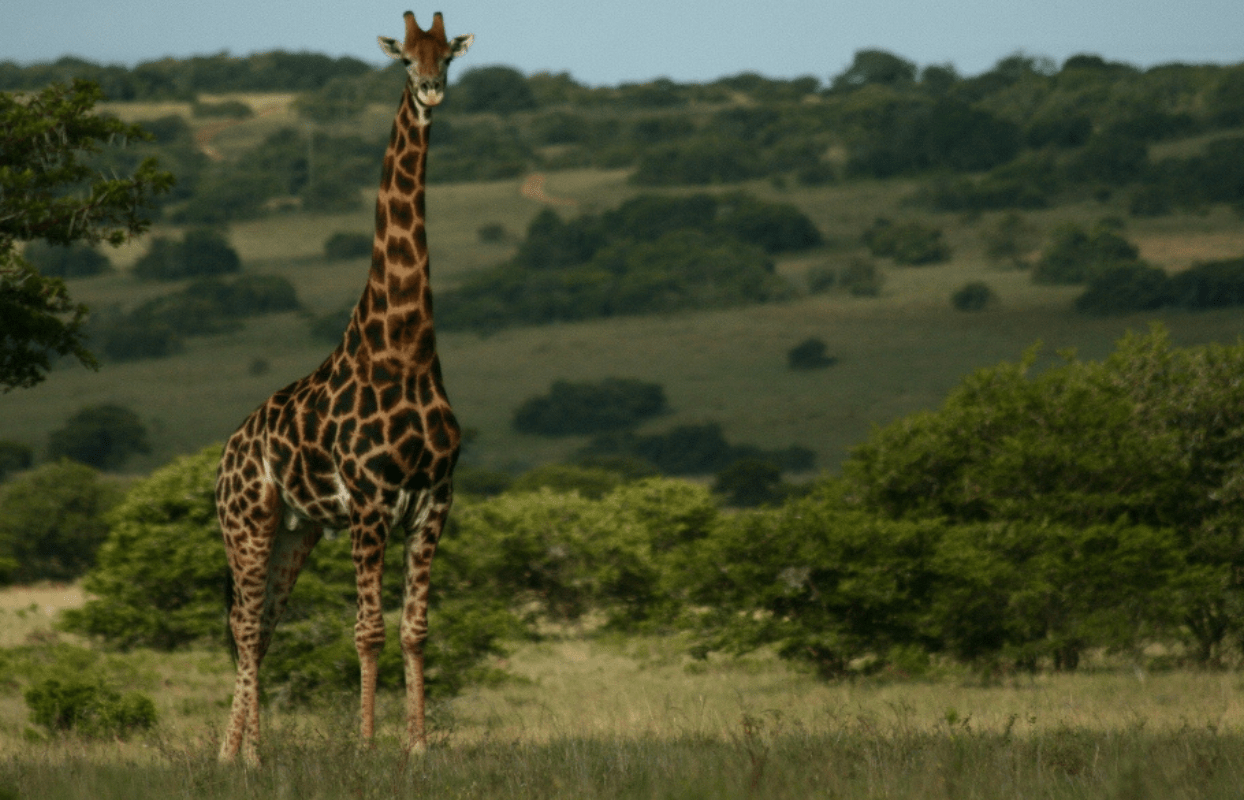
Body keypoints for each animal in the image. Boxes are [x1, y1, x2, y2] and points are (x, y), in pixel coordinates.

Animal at [215, 10, 473, 764]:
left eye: (449, 55)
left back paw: (233, 753)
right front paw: (364, 747)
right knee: (245, 626)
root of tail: (226, 454)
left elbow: (415, 629)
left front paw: (417, 748)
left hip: (293, 532)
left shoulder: (435, 498)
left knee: (262, 625)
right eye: (403, 59)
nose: (431, 91)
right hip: (248, 522)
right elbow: (368, 630)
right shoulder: (368, 501)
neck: (406, 350)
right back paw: (248, 756)